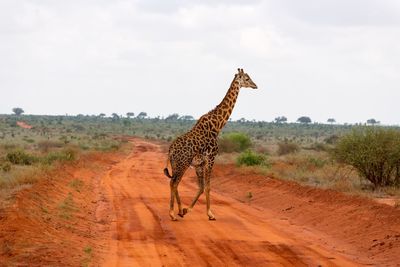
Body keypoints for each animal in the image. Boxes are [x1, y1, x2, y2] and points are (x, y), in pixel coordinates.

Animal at [164, 68, 258, 222]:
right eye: (247, 78)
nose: (255, 85)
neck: (217, 125)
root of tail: (170, 150)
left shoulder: (199, 164)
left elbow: (201, 187)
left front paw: (186, 210)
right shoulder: (211, 158)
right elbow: (208, 187)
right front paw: (210, 214)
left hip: (175, 164)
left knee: (174, 183)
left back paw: (178, 211)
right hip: (183, 163)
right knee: (174, 183)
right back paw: (172, 214)